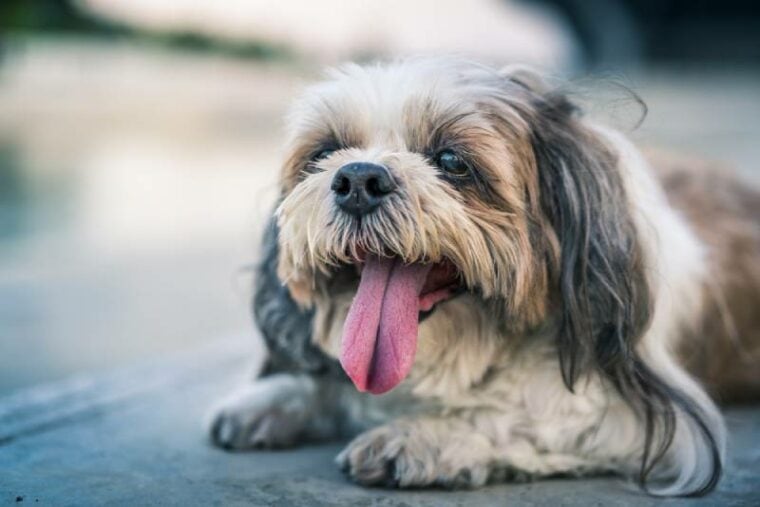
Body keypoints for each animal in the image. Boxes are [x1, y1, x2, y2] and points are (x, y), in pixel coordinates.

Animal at [208, 56, 760, 496]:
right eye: (325, 153)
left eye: (452, 160)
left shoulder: (641, 418)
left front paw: (426, 434)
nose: (358, 178)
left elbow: (528, 416)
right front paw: (276, 398)